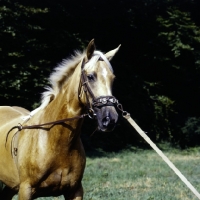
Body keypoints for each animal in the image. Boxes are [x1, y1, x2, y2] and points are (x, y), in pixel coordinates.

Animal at [0, 39, 120, 200]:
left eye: (112, 79)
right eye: (90, 76)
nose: (110, 118)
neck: (54, 139)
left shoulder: (75, 190)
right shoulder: (25, 190)